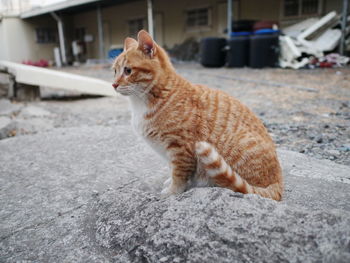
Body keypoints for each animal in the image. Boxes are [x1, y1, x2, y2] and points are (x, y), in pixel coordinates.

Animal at [113, 29, 284, 202]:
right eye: (114, 71)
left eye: (128, 71)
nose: (113, 84)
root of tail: (278, 184)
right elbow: (172, 169)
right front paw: (169, 181)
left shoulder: (180, 148)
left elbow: (179, 176)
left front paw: (172, 192)